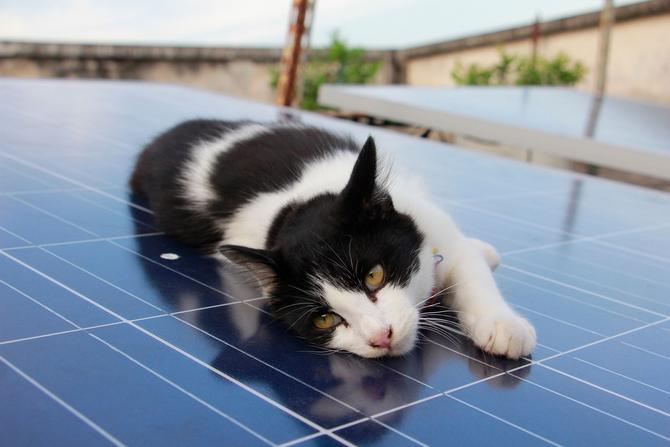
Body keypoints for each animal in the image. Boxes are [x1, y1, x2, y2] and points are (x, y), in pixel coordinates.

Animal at [134, 120, 540, 360]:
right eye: (326, 319)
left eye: (374, 276)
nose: (381, 336)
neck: (298, 200)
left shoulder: (431, 225)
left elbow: (467, 267)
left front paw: (503, 326)